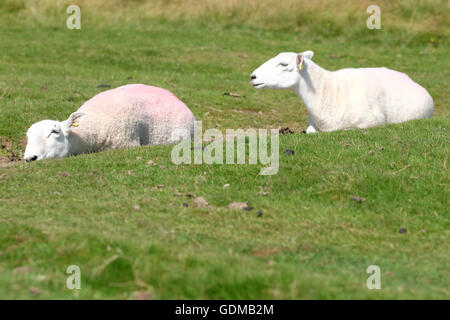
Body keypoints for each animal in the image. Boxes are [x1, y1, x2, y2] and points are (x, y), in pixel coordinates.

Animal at [251, 50, 434, 133]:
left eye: (283, 64)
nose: (253, 76)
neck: (328, 92)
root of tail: (409, 78)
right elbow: (310, 131)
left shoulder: (370, 123)